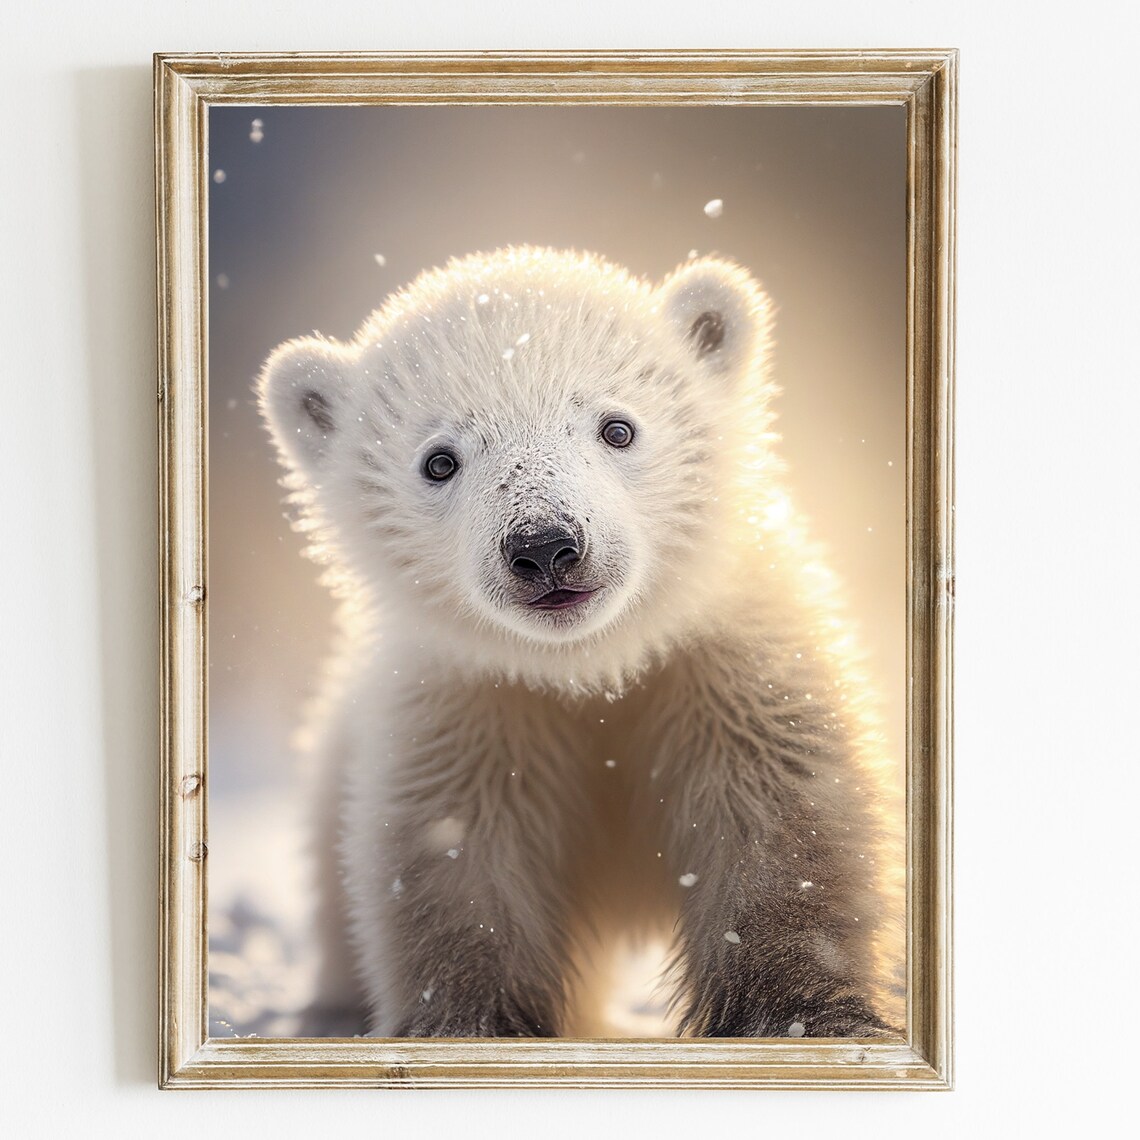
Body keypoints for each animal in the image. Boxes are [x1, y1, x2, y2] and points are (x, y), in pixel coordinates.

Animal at [258, 245, 903, 1039]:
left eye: (616, 427)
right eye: (439, 460)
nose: (545, 547)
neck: (593, 669)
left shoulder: (733, 671)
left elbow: (785, 826)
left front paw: (811, 1016)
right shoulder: (473, 708)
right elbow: (458, 857)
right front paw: (475, 1026)